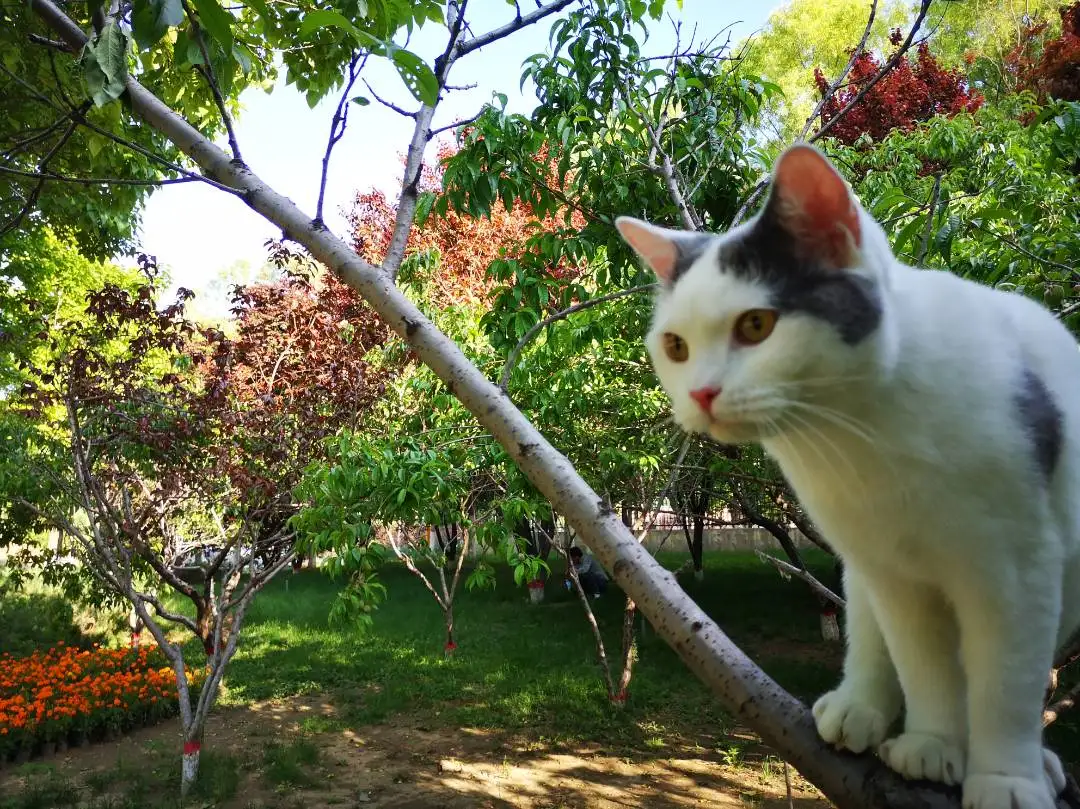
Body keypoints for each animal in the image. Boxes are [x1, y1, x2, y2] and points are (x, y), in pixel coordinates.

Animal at [617, 144, 1080, 807]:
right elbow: (926, 664)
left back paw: (1032, 762)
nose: (701, 393)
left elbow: (1005, 683)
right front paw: (934, 744)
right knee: (871, 632)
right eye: (675, 345)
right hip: (865, 567)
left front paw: (1005, 777)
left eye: (756, 326)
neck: (861, 434)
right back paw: (861, 710)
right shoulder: (897, 576)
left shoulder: (1019, 570)